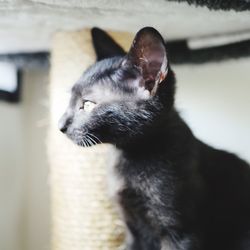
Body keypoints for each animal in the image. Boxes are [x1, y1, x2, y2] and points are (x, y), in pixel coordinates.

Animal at [58, 27, 250, 250]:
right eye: (70, 100)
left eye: (88, 104)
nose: (60, 125)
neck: (129, 154)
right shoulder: (132, 231)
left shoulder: (179, 231)